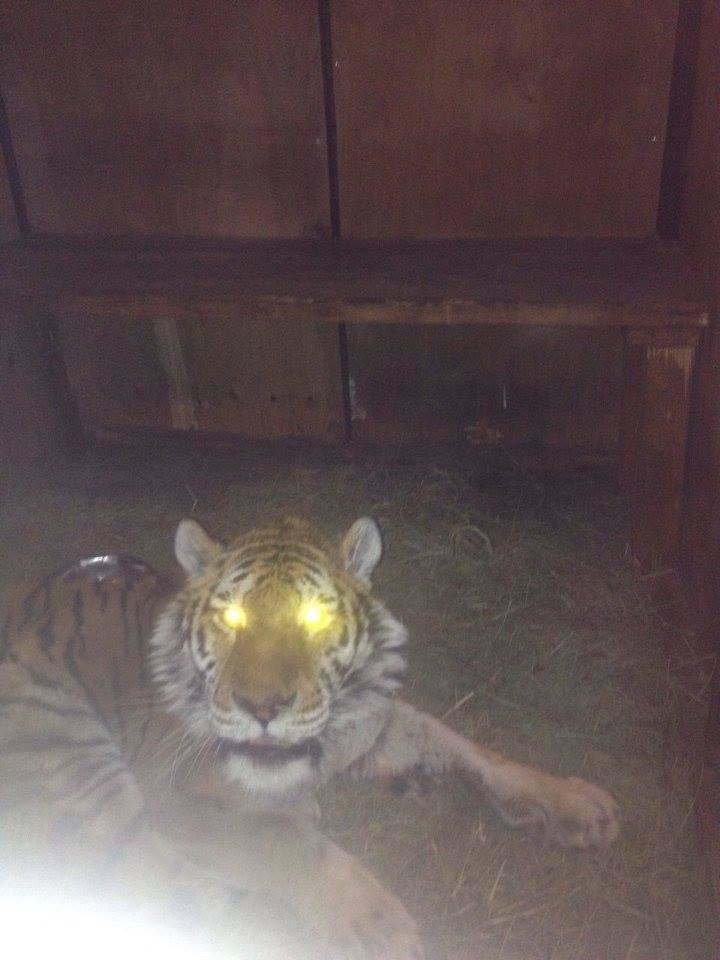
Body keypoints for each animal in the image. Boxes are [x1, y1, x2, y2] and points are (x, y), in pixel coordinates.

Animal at [0, 515, 620, 959]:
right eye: (232, 618)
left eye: (315, 618)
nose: (262, 707)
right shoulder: (177, 792)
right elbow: (286, 843)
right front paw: (379, 927)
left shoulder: (373, 726)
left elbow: (467, 747)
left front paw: (575, 805)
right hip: (73, 750)